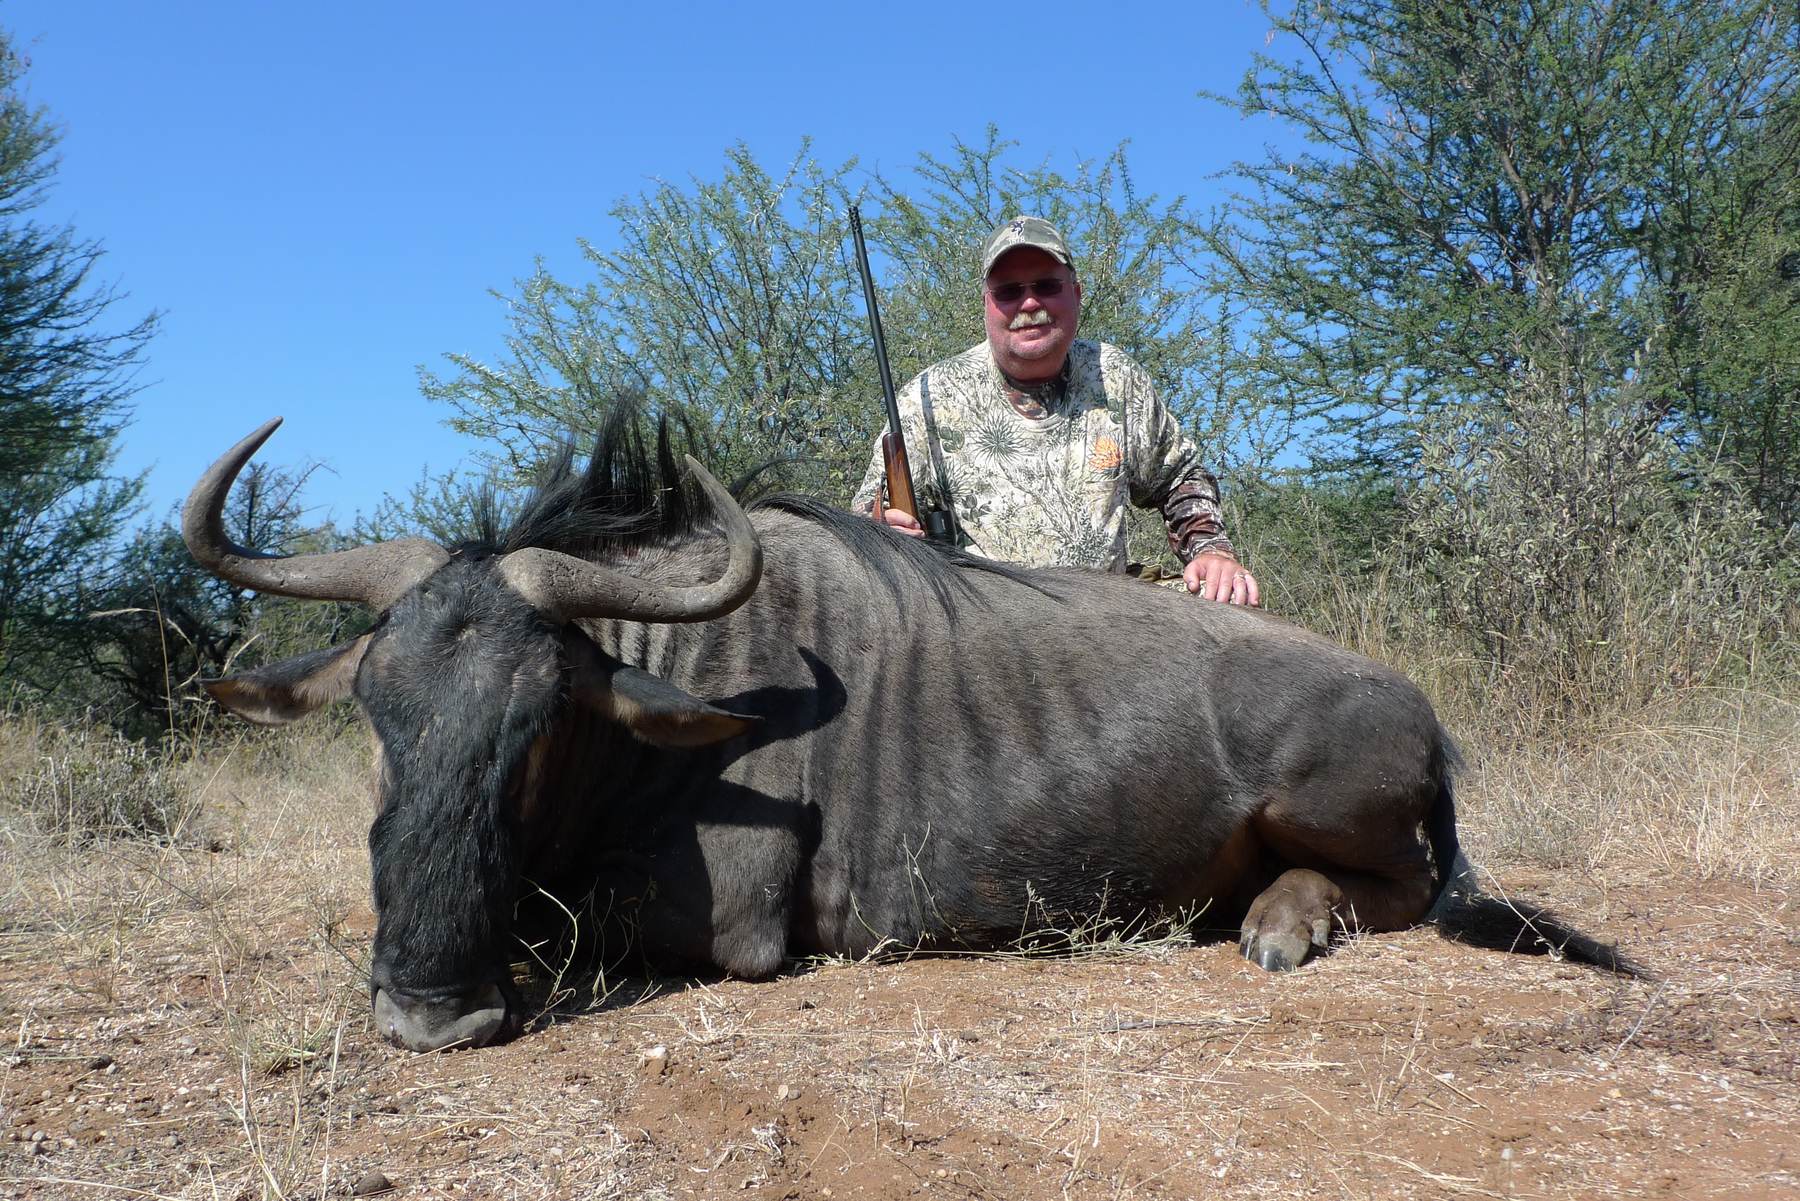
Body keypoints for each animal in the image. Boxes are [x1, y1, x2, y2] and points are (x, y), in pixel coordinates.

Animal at [185, 412, 1633, 1053]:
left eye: (539, 723)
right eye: (379, 715)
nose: (432, 1008)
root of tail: (1420, 712)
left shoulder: (725, 927)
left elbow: (561, 925)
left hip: (1328, 803)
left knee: (1393, 891)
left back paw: (1284, 923)